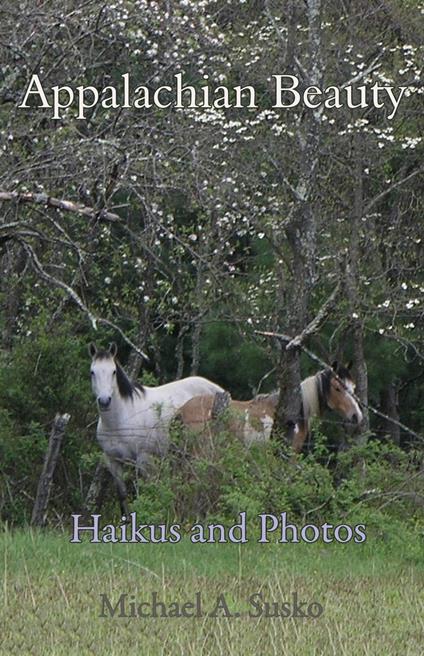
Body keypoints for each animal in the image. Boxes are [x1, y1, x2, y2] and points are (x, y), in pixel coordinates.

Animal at [88, 340, 224, 516]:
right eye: (92, 372)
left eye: (113, 372)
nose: (104, 401)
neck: (120, 421)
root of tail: (218, 390)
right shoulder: (113, 462)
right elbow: (123, 496)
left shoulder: (144, 459)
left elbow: (145, 492)